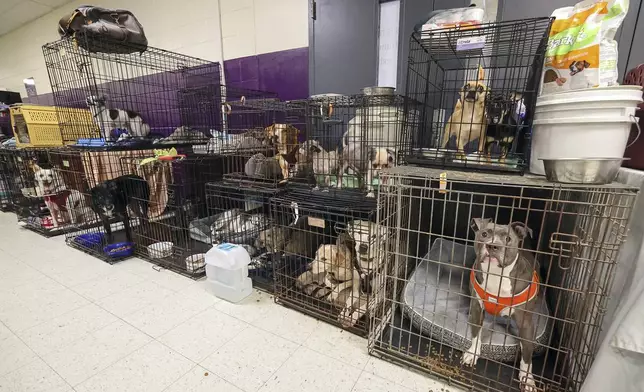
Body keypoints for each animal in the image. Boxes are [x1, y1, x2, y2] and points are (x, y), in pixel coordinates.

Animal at [466, 219, 540, 392]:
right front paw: (472, 353)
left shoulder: (526, 324)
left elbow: (527, 354)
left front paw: (528, 379)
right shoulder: (476, 309)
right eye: (484, 234)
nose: (493, 246)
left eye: (508, 239)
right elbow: (476, 333)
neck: (496, 275)